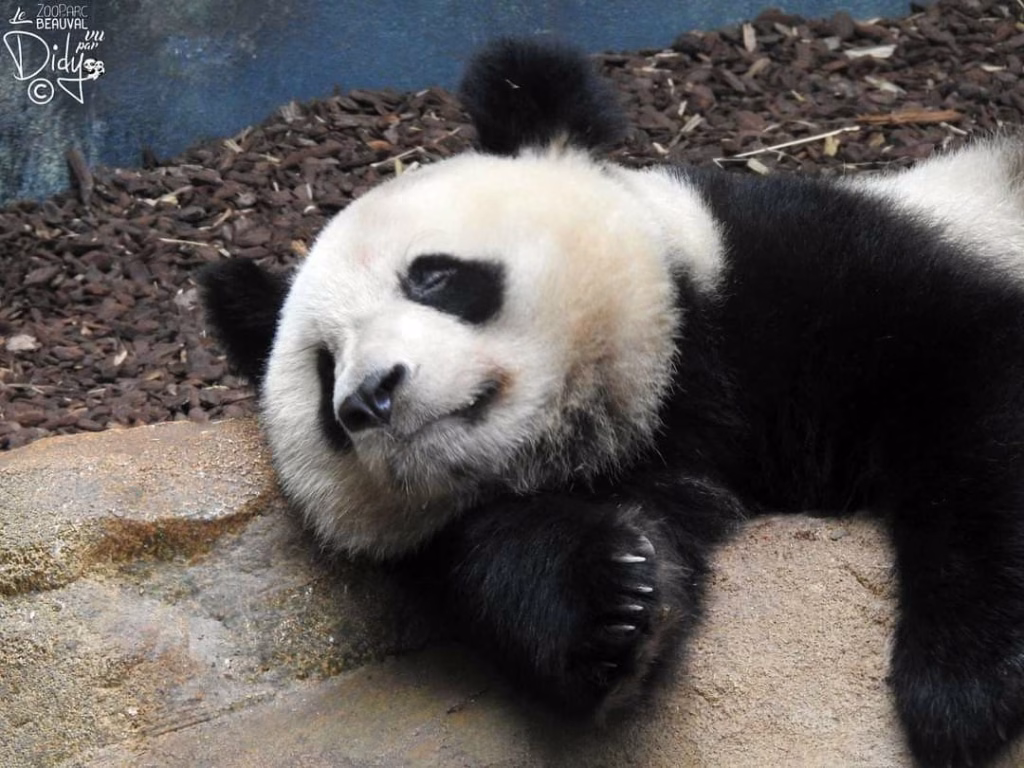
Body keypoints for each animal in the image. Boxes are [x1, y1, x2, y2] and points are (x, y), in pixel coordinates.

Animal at [199, 39, 1024, 768]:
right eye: (324, 367)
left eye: (432, 277)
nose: (369, 397)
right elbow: (507, 558)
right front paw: (614, 605)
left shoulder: (798, 272)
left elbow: (975, 401)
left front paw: (961, 690)